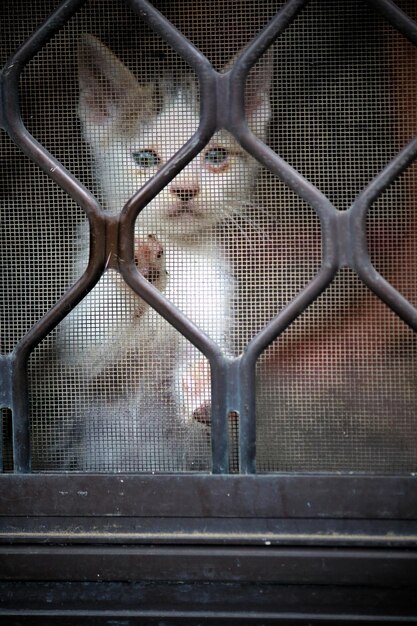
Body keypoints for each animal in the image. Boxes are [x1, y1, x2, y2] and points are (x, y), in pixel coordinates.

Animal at [52, 35, 270, 468]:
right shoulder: (80, 348)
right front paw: (141, 262)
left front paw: (201, 383)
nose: (185, 189)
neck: (178, 251)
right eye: (146, 159)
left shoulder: (213, 297)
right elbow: (95, 348)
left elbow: (201, 357)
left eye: (216, 156)